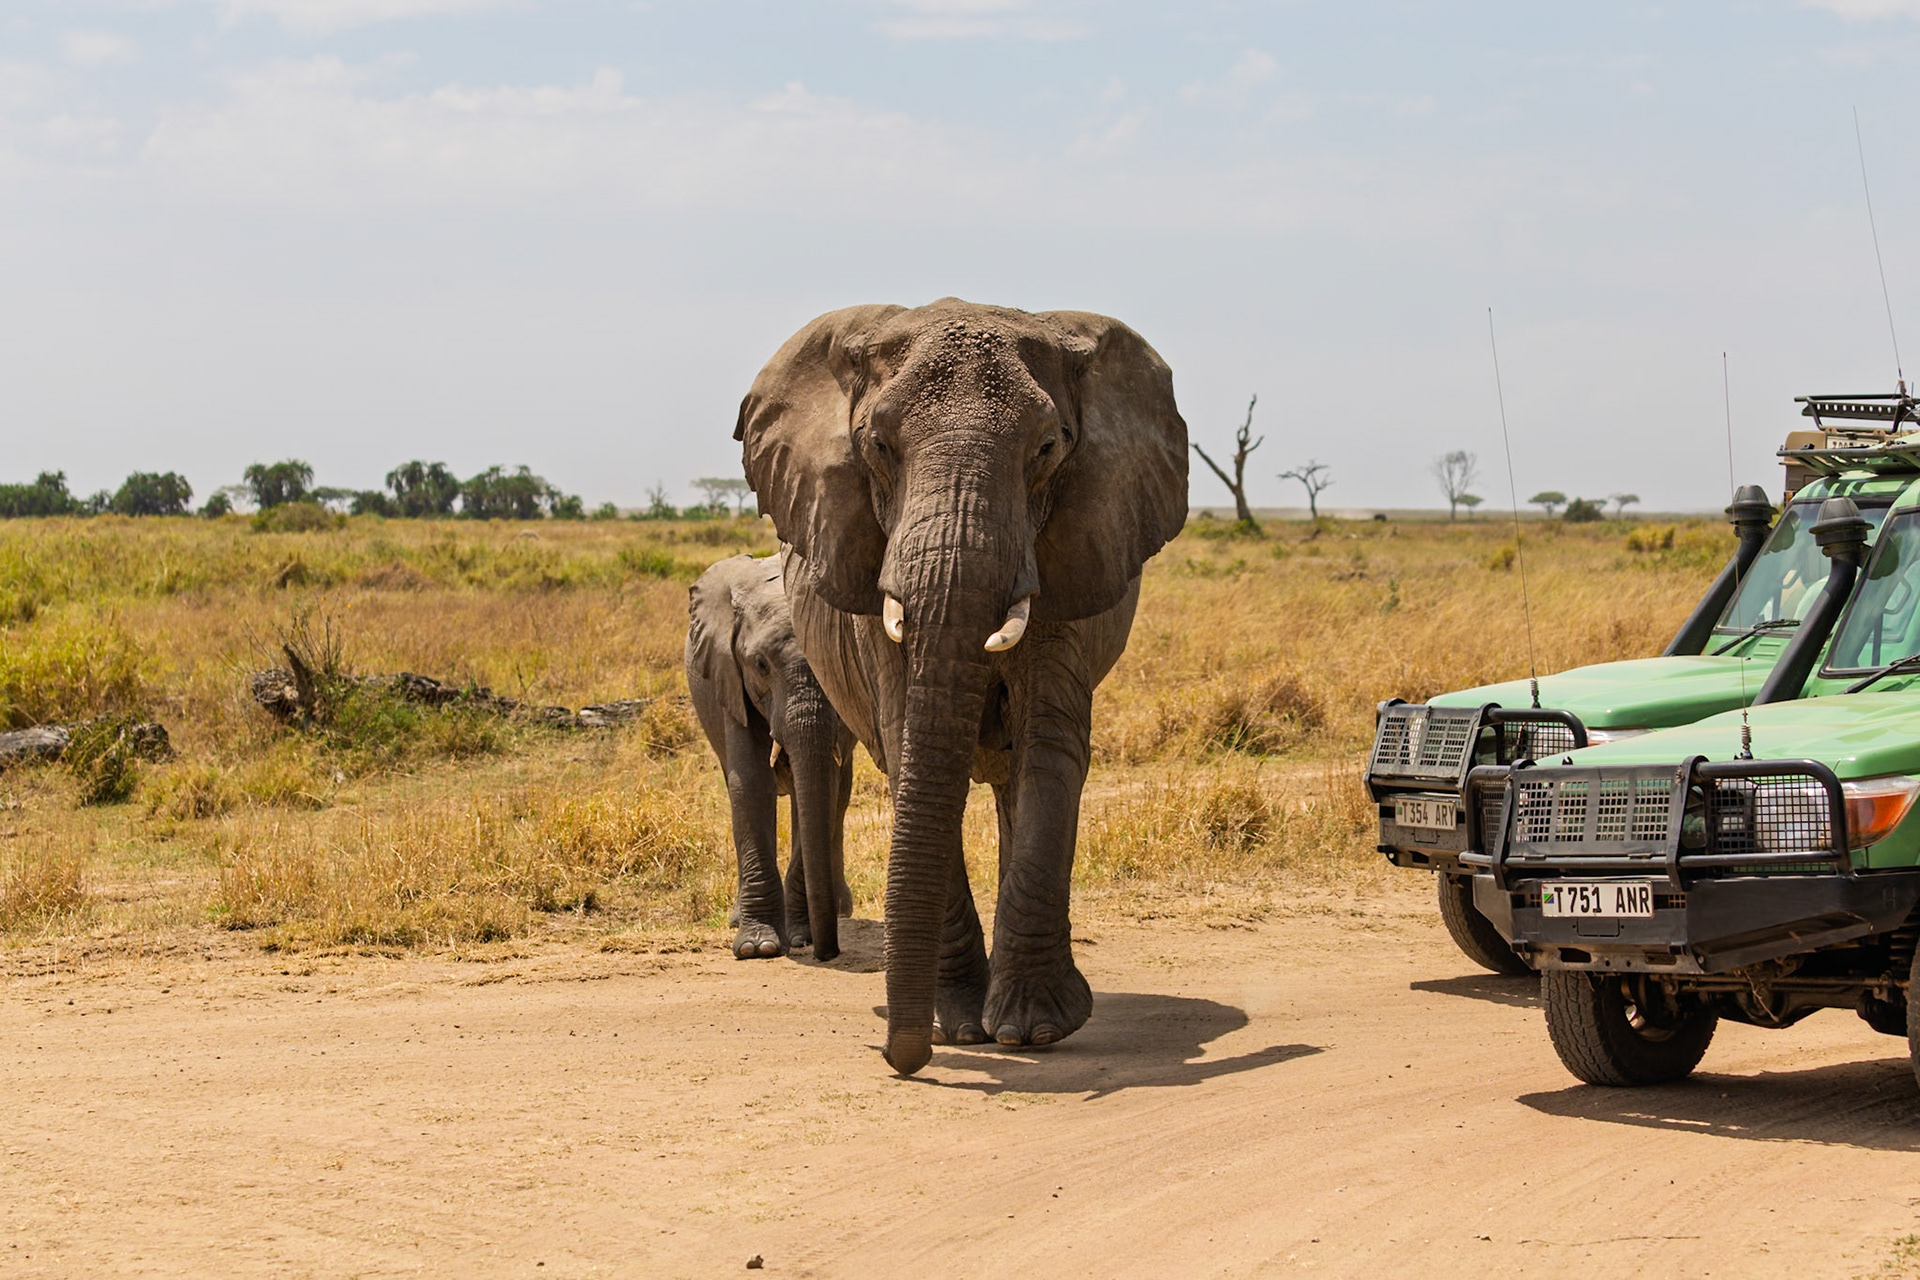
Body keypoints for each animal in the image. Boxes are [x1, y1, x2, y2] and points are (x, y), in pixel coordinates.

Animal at [685, 552, 856, 962]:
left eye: (830, 659)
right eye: (760, 665)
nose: (826, 952)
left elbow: (823, 787)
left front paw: (801, 936)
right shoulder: (729, 677)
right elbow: (749, 783)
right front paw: (757, 947)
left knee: (838, 797)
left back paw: (841, 909)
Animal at [735, 298, 1188, 1074]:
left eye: (1048, 448)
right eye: (876, 446)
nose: (902, 1059)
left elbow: (1049, 750)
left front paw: (1033, 1030)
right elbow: (907, 744)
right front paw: (961, 1027)